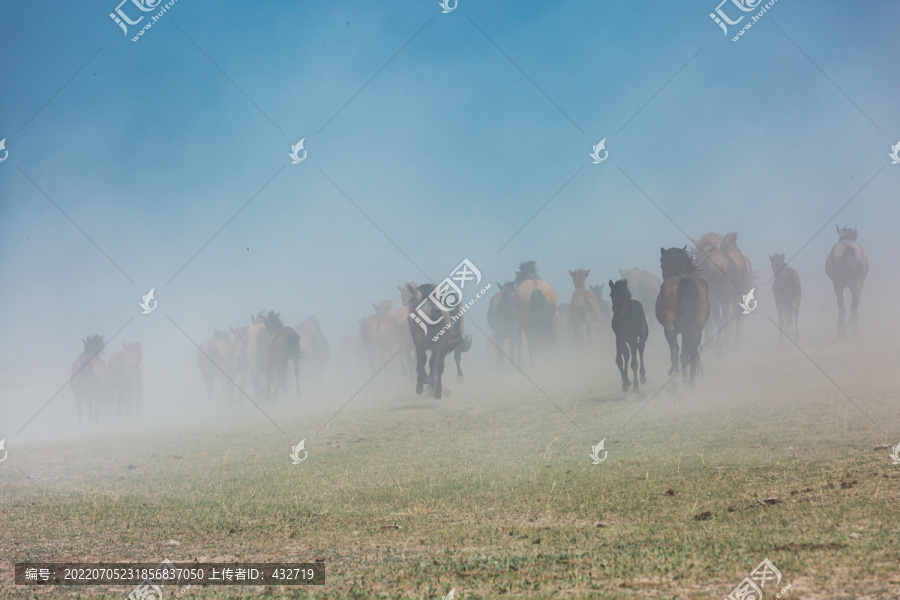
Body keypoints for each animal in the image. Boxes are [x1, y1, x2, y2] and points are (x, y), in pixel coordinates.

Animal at [652, 247, 712, 390]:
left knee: (675, 351)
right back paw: (690, 384)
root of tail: (684, 280)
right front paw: (686, 381)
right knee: (690, 352)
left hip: (669, 328)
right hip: (696, 328)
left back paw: (676, 379)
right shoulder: (687, 330)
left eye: (662, 264)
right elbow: (686, 352)